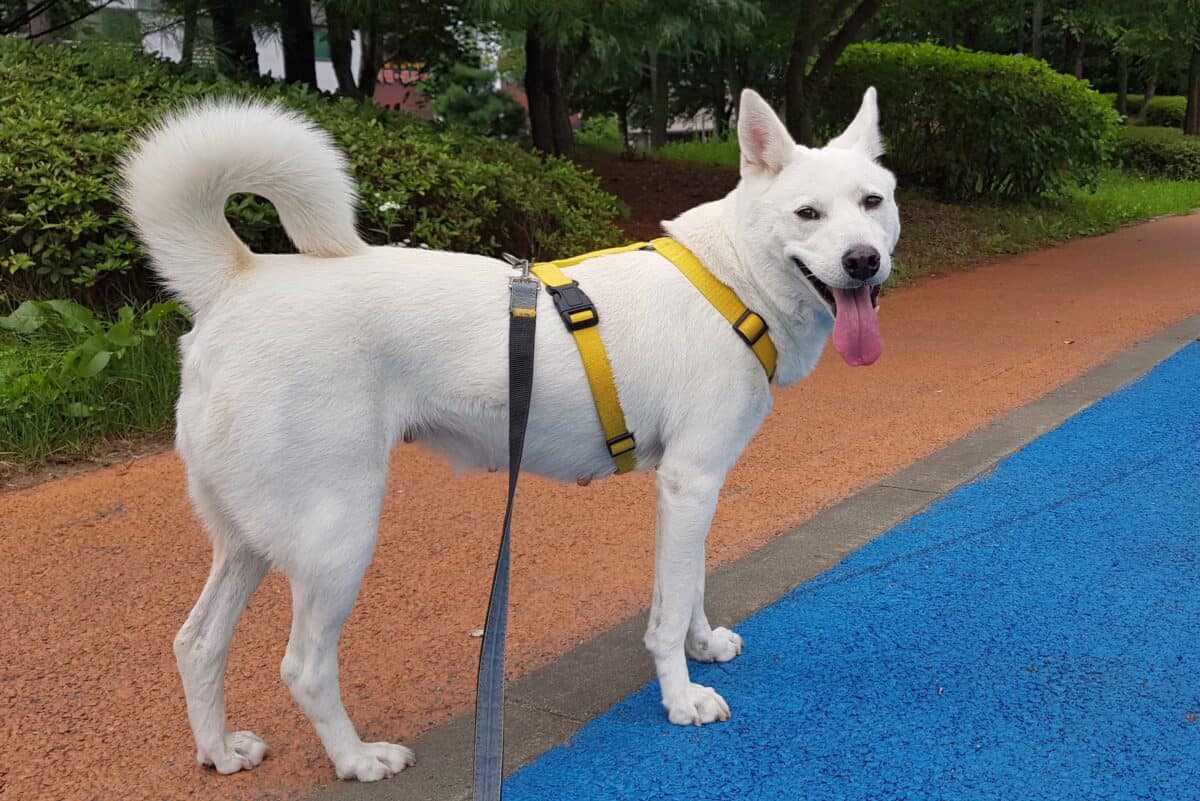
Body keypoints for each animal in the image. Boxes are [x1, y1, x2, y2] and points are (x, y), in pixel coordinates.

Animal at [121, 87, 902, 781]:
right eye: (807, 213)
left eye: (872, 203)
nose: (863, 261)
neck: (732, 278)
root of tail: (236, 280)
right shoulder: (690, 482)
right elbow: (669, 609)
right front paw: (681, 699)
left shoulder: (692, 488)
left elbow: (690, 585)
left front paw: (703, 643)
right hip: (336, 534)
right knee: (304, 668)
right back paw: (357, 760)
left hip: (250, 538)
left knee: (196, 642)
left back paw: (219, 751)